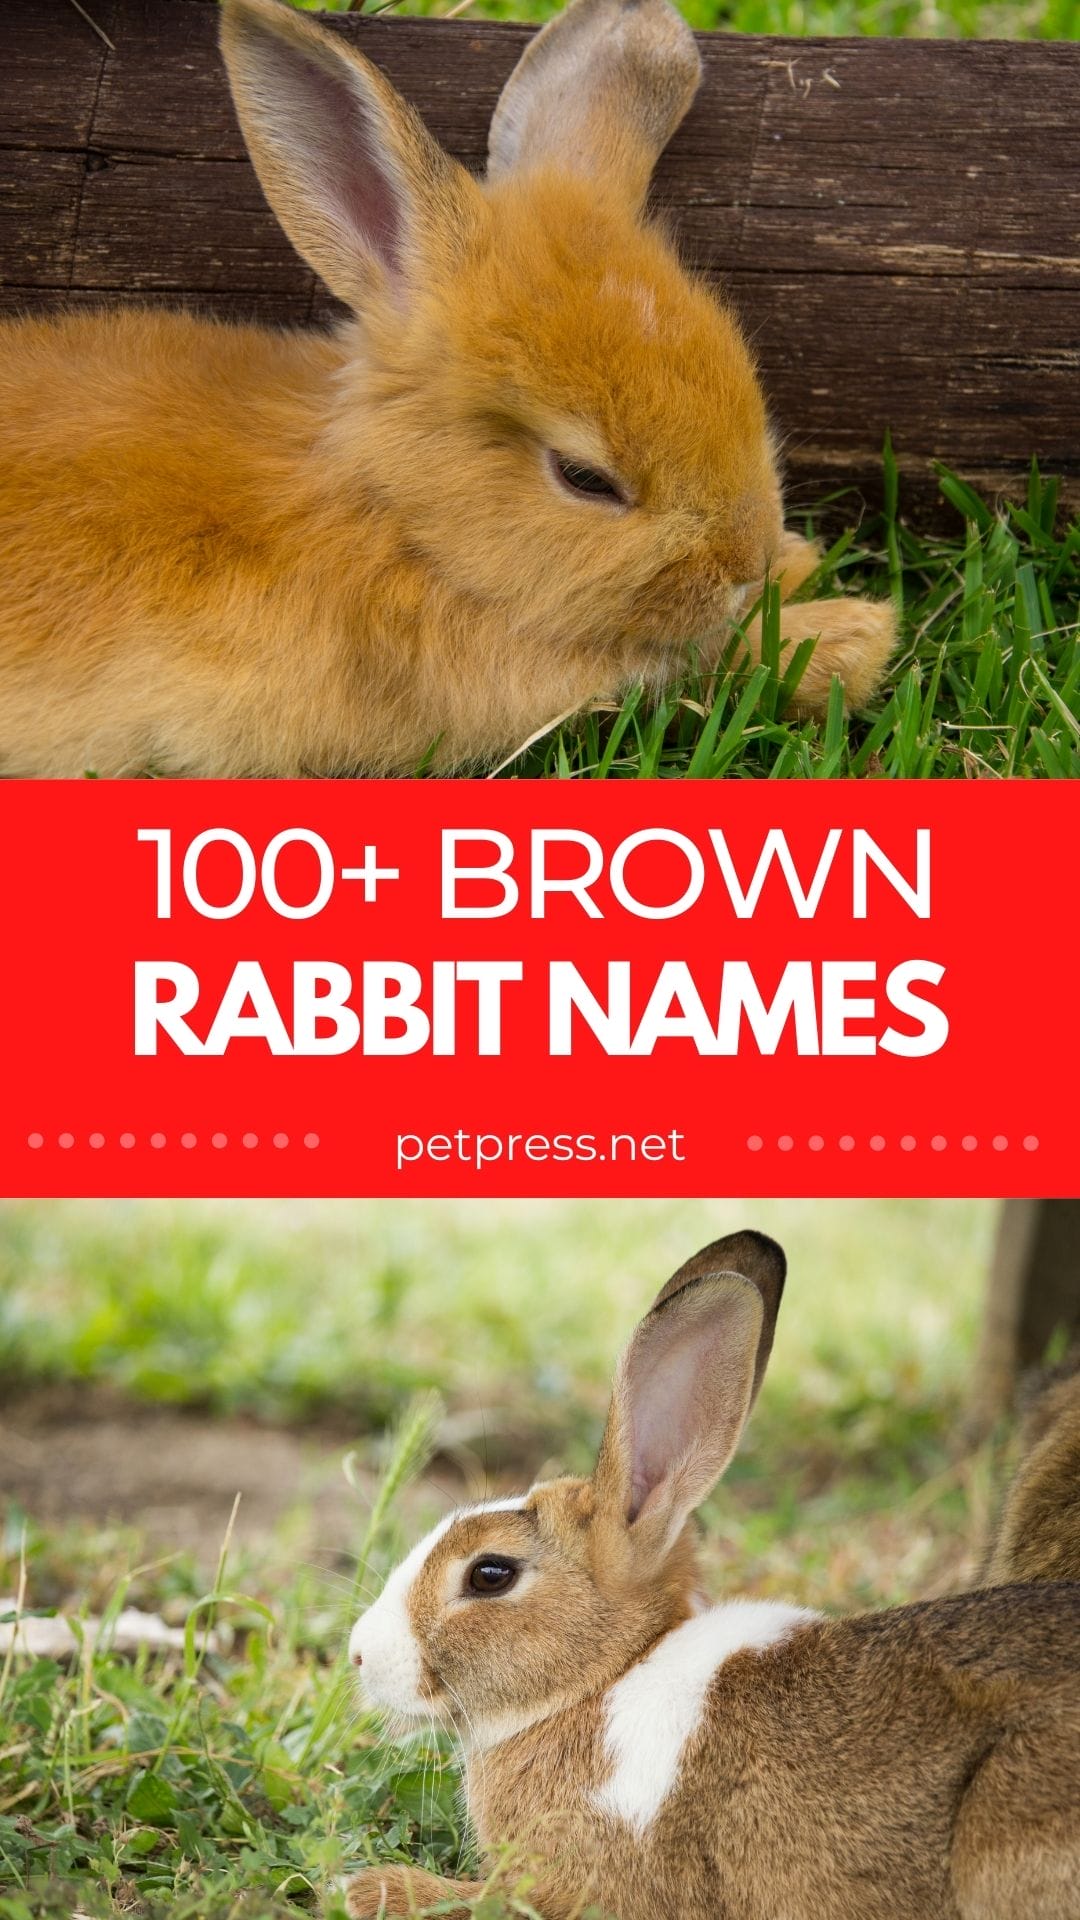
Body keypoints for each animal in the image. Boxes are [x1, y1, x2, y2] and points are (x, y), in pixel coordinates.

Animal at [0, 0, 895, 778]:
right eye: (584, 478)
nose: (745, 559)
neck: (392, 515)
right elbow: (687, 669)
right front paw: (854, 638)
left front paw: (800, 568)